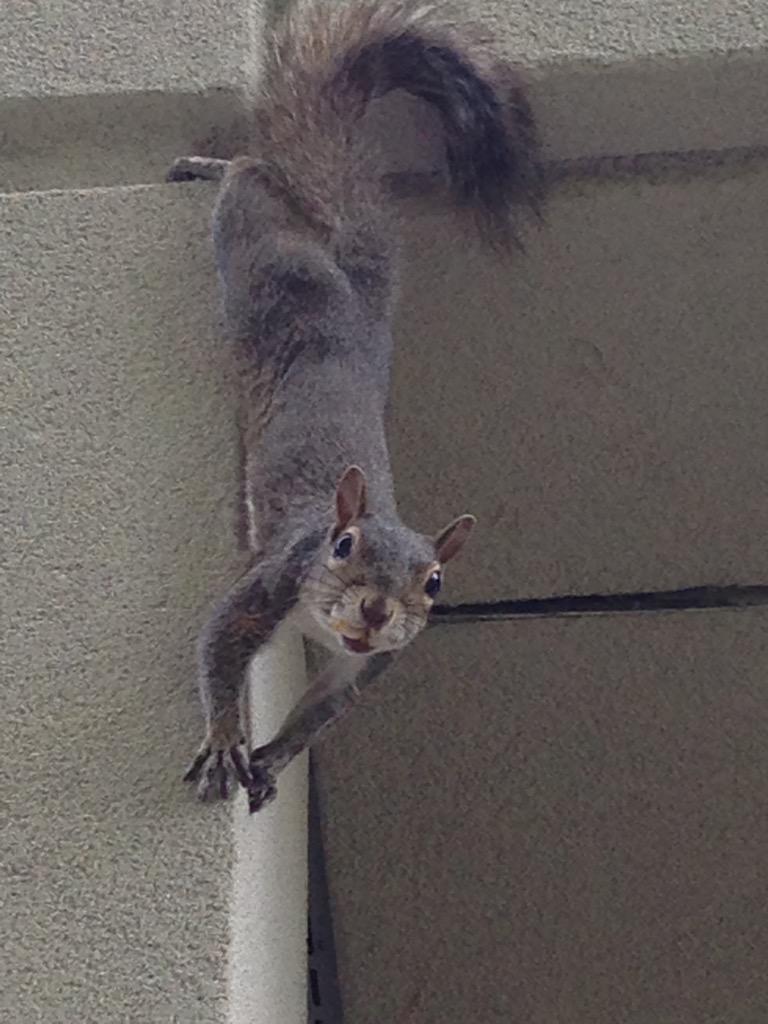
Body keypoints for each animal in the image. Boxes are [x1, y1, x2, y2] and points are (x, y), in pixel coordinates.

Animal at [166, 2, 540, 815]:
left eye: (435, 584)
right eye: (342, 546)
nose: (375, 613)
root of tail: (352, 298)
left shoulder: (365, 666)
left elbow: (322, 712)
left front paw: (270, 759)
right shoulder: (275, 576)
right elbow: (218, 643)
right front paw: (224, 740)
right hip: (266, 263)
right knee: (249, 187)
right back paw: (216, 167)